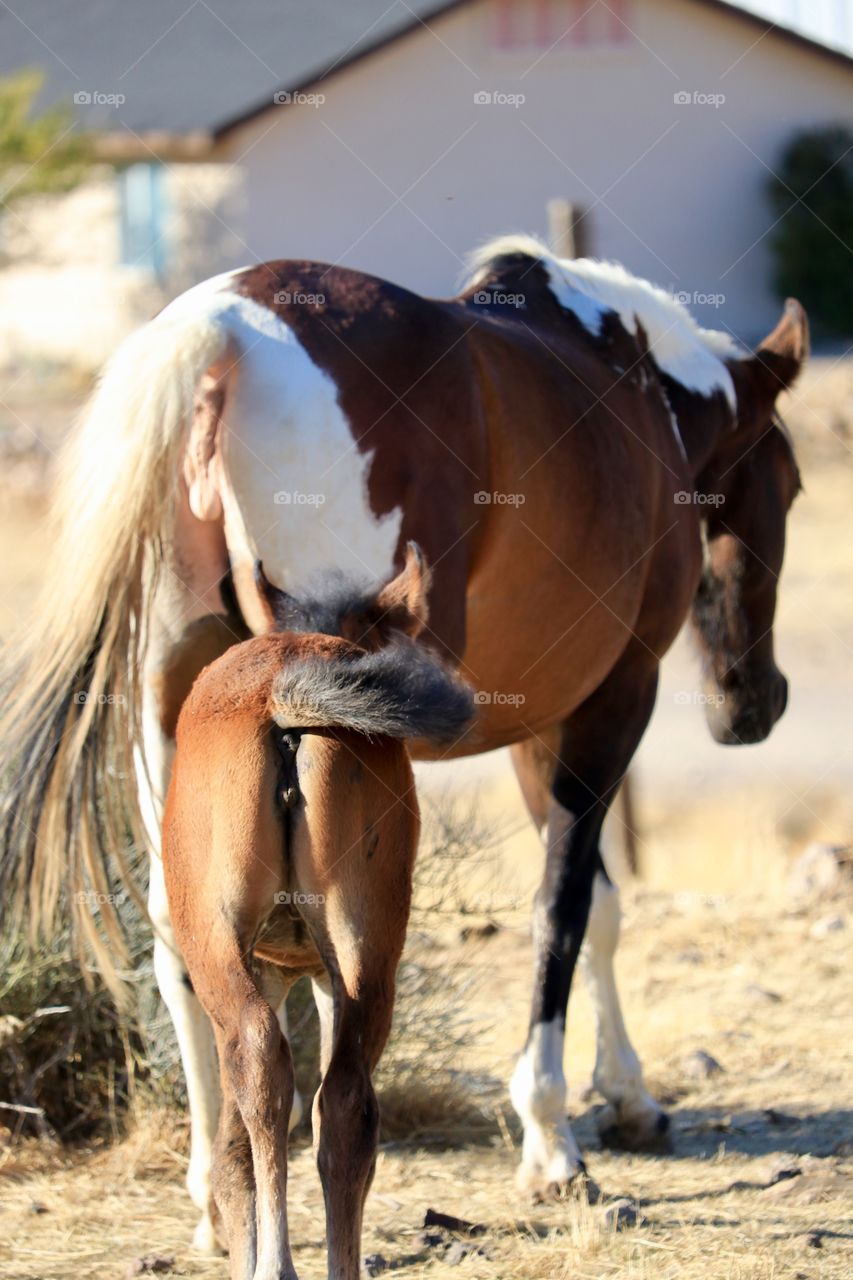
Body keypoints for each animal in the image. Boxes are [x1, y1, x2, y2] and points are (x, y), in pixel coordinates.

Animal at [161, 542, 471, 1280]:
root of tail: (284, 690)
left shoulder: (257, 969)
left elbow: (236, 1144)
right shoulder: (318, 975)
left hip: (218, 951)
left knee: (261, 1071)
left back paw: (273, 1265)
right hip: (367, 958)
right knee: (347, 1105)